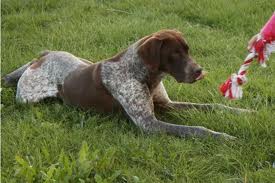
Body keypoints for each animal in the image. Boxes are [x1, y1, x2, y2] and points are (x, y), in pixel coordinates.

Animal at [2, 29, 252, 139]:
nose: (199, 71)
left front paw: (242, 111)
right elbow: (195, 129)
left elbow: (213, 106)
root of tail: (42, 57)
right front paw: (223, 137)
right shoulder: (149, 124)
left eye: (188, 50)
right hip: (27, 97)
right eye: (175, 53)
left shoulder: (167, 105)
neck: (144, 75)